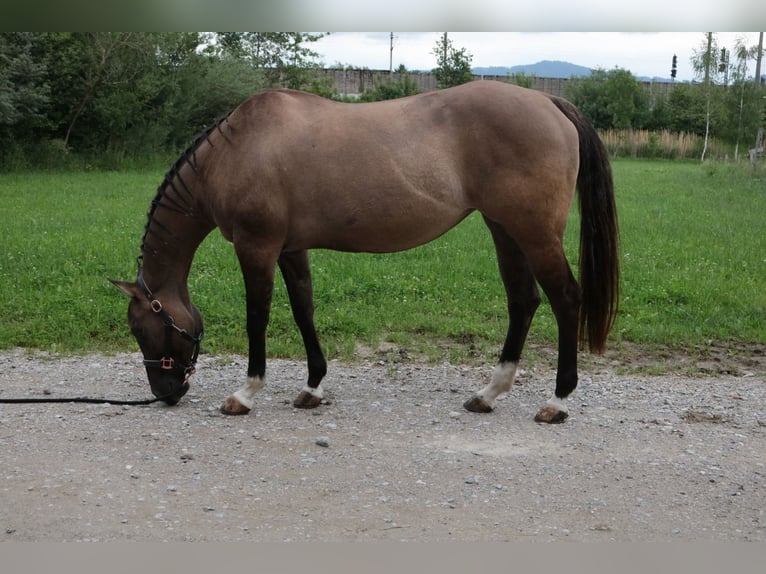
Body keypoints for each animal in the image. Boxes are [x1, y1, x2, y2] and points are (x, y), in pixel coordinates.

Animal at [110, 80, 619, 424]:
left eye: (139, 329)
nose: (166, 392)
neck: (236, 151)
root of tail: (547, 101)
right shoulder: (291, 249)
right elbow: (304, 310)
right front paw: (313, 387)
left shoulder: (258, 248)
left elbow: (258, 317)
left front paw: (246, 394)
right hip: (505, 230)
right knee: (523, 301)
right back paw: (488, 394)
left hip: (534, 234)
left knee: (565, 299)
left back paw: (556, 400)